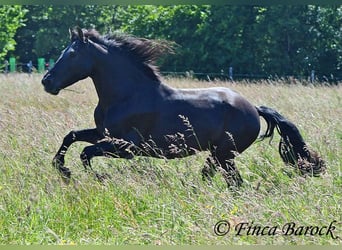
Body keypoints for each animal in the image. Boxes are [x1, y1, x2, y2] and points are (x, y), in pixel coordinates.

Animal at [41, 28, 324, 187]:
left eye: (72, 54)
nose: (47, 82)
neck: (127, 95)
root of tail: (254, 109)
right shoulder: (103, 134)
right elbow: (71, 137)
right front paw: (61, 168)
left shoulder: (126, 148)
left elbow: (85, 153)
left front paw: (95, 177)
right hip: (221, 156)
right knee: (227, 181)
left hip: (223, 154)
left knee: (227, 181)